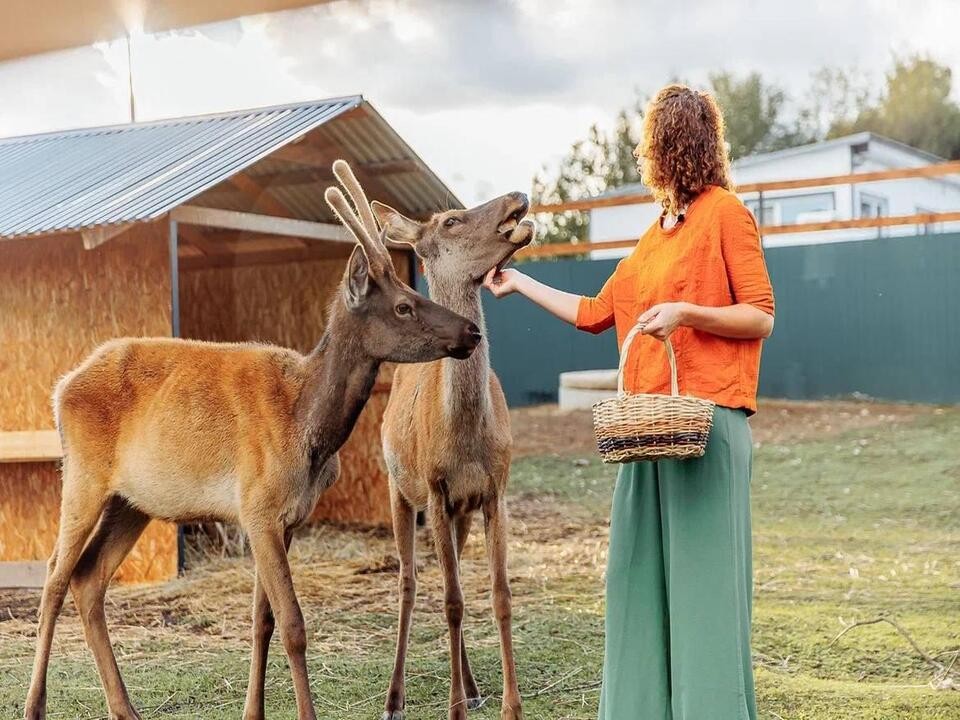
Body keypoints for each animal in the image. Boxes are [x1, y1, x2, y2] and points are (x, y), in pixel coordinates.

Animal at [23, 162, 484, 720]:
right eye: (403, 306)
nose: (471, 331)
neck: (307, 429)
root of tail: (60, 389)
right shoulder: (258, 506)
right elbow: (293, 624)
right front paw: (305, 713)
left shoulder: (285, 517)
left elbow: (263, 619)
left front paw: (253, 710)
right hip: (83, 476)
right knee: (53, 578)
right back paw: (35, 705)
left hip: (131, 501)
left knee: (89, 579)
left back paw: (124, 707)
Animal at [374, 188, 536, 716]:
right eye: (450, 220)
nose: (518, 195)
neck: (464, 438)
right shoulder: (436, 490)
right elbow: (450, 602)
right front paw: (454, 708)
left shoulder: (494, 492)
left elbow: (499, 595)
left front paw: (510, 705)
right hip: (400, 491)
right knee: (408, 583)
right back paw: (395, 697)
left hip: (460, 511)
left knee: (455, 577)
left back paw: (473, 685)